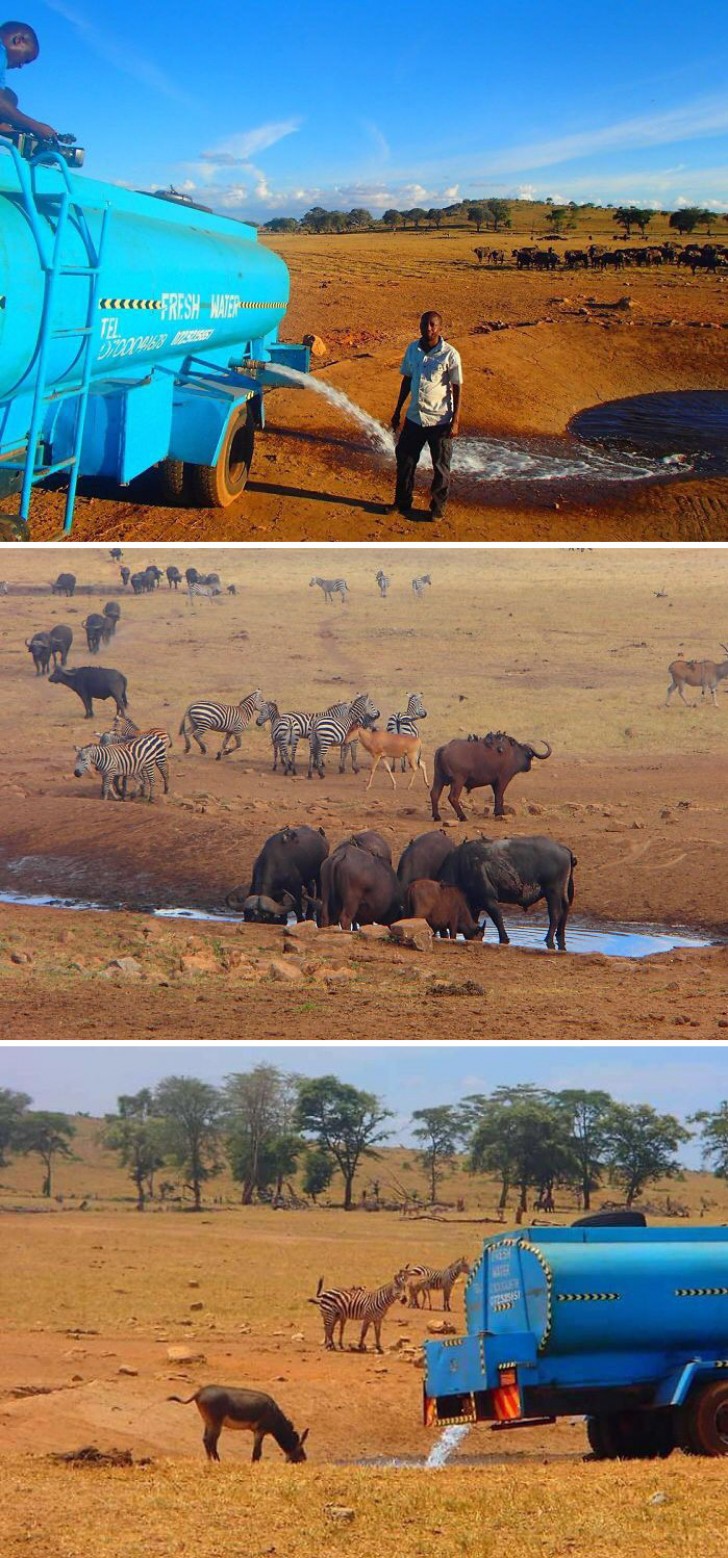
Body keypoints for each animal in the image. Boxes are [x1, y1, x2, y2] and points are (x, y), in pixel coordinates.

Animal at [442, 841, 579, 947]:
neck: (461, 866)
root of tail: (565, 850)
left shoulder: (489, 900)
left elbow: (498, 919)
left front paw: (504, 939)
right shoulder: (475, 906)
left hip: (553, 892)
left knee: (555, 914)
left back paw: (548, 939)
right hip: (561, 893)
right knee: (565, 909)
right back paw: (559, 935)